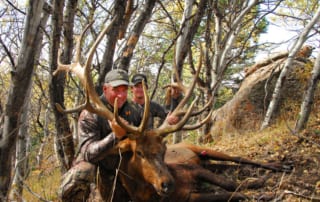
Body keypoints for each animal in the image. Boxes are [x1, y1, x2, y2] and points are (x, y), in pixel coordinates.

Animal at [55, 19, 292, 202]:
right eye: (139, 152)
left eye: (163, 151)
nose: (167, 184)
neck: (151, 195)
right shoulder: (189, 196)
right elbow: (233, 192)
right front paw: (262, 191)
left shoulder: (194, 170)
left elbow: (231, 185)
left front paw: (263, 186)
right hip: (205, 159)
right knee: (223, 165)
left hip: (202, 150)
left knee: (239, 159)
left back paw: (281, 165)